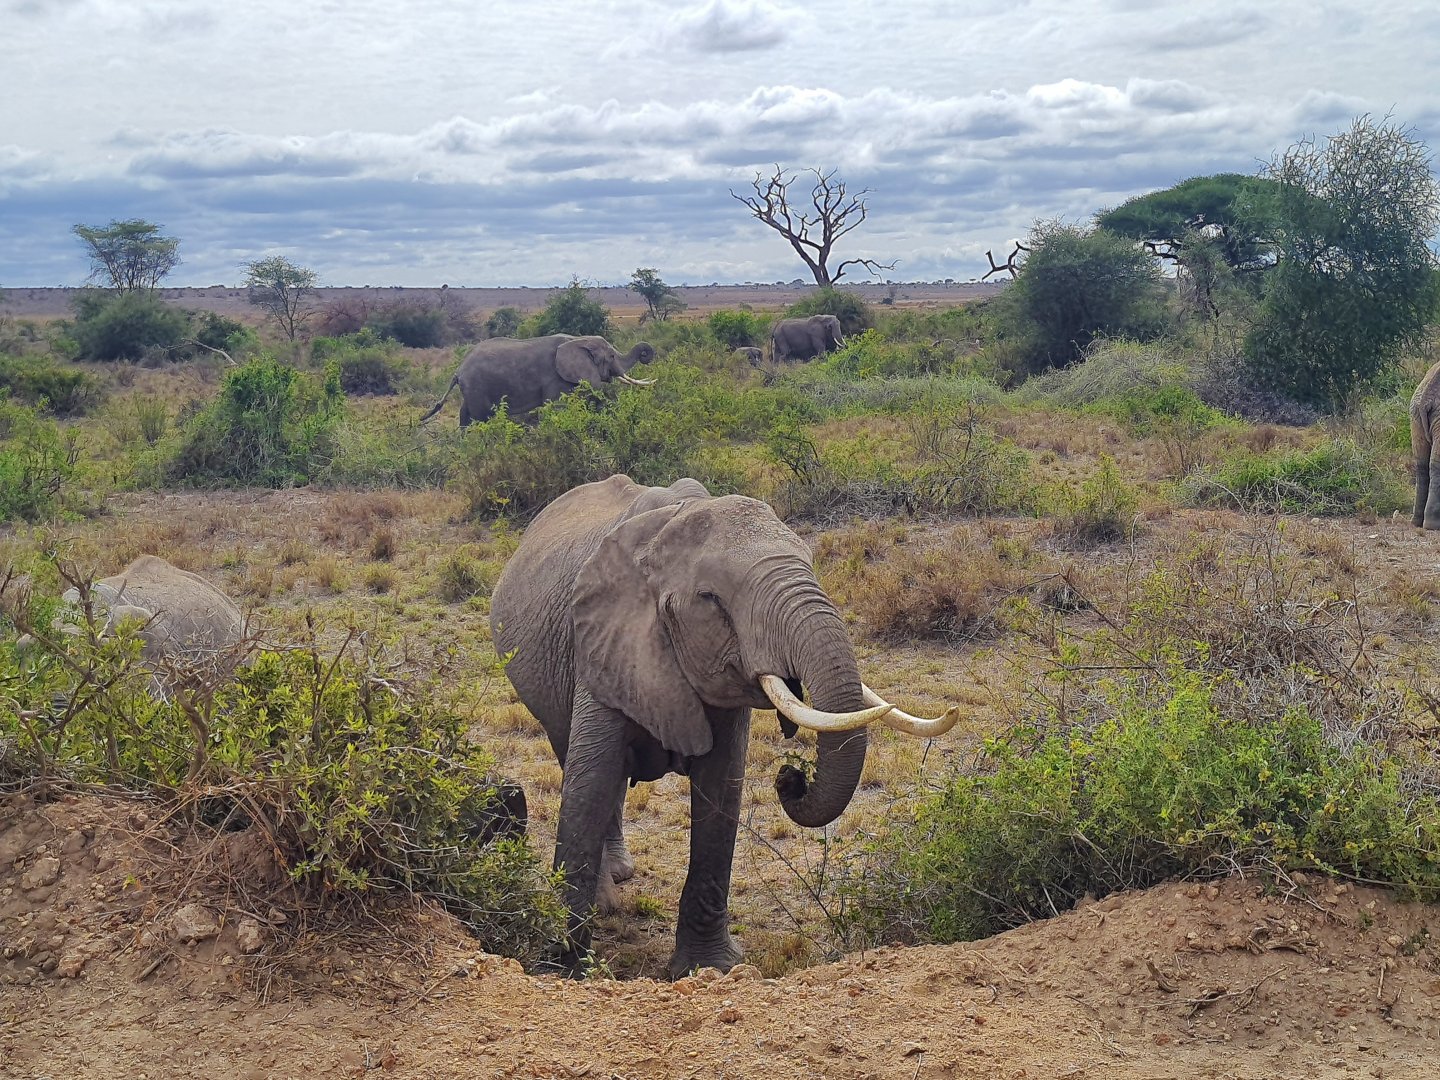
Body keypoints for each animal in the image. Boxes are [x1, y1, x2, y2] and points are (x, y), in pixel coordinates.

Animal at [419, 334, 656, 428]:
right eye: (613, 356)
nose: (646, 354)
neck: (579, 339)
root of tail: (458, 370)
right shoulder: (556, 379)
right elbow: (559, 408)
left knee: (465, 417)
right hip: (477, 388)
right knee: (481, 419)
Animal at [489, 475, 958, 977]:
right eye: (711, 599)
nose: (791, 777)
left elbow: (721, 791)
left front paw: (709, 968)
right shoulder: (603, 645)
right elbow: (589, 784)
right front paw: (561, 969)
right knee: (573, 758)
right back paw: (610, 891)